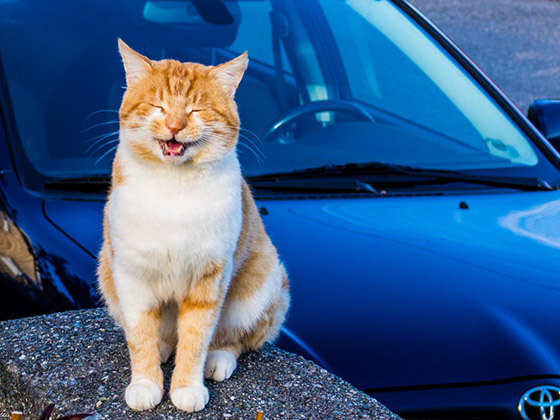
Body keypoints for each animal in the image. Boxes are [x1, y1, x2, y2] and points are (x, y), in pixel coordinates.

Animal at [97, 40, 290, 414]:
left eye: (197, 110)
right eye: (158, 106)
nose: (174, 126)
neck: (173, 187)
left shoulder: (210, 278)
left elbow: (196, 338)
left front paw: (186, 387)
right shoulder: (130, 275)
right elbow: (140, 335)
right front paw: (146, 382)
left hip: (261, 286)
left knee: (237, 338)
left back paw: (219, 359)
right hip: (106, 276)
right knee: (159, 337)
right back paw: (162, 350)